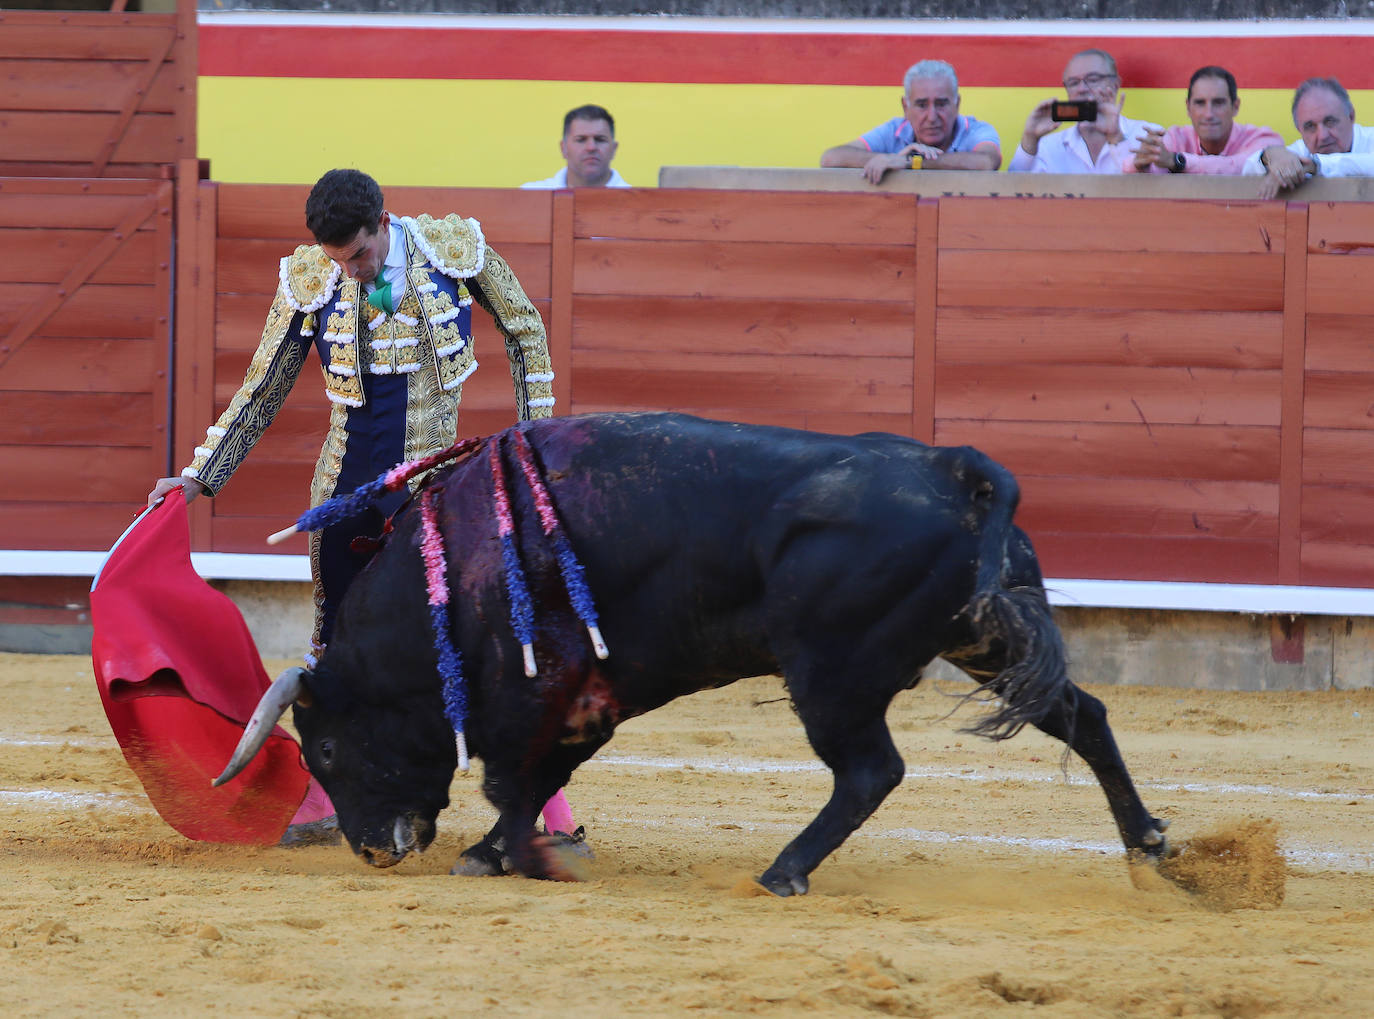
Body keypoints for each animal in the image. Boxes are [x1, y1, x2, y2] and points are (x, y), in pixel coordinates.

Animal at [214, 411, 1170, 895]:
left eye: (325, 748)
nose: (372, 850)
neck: (454, 565)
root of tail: (953, 468)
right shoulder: (593, 695)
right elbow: (541, 776)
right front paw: (499, 851)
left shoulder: (538, 689)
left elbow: (512, 782)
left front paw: (525, 858)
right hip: (985, 638)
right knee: (1084, 716)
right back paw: (1149, 845)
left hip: (832, 673)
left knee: (871, 770)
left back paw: (782, 871)